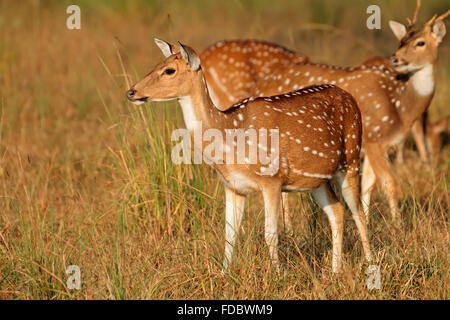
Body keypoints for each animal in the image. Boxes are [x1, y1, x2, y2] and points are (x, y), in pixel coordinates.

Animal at [126, 38, 372, 272]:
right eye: (157, 65)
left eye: (169, 70)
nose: (131, 91)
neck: (230, 136)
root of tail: (351, 98)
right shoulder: (233, 186)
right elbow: (229, 235)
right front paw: (224, 275)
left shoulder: (272, 179)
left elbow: (270, 234)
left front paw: (278, 275)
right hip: (315, 180)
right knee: (337, 210)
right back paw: (335, 270)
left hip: (351, 159)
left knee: (358, 213)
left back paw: (370, 265)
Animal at [201, 5, 450, 225]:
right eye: (401, 41)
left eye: (420, 42)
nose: (395, 58)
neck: (400, 108)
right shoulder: (374, 139)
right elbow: (389, 182)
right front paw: (396, 226)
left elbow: (368, 185)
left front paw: (370, 222)